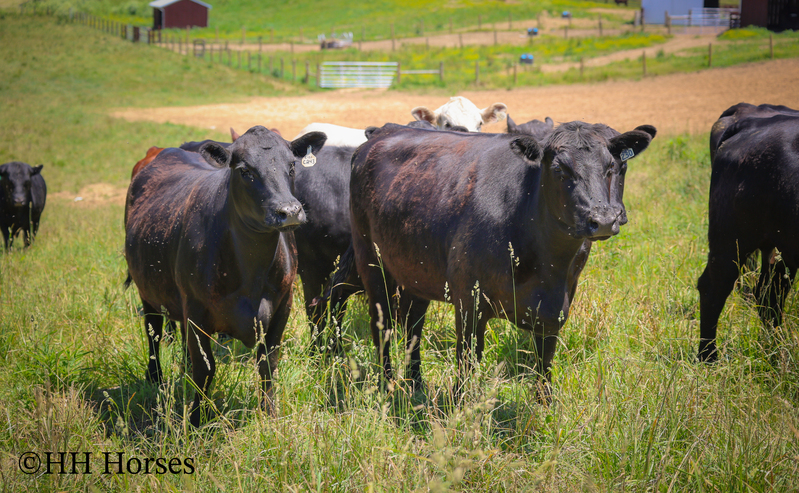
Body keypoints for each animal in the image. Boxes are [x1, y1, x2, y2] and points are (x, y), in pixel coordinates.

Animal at [124, 126, 326, 426]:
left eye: (292, 166)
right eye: (245, 171)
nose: (289, 211)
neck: (252, 277)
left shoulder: (283, 304)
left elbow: (268, 363)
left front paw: (269, 415)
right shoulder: (196, 311)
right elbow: (205, 369)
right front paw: (196, 421)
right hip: (147, 291)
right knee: (154, 333)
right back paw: (155, 378)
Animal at [337, 122, 653, 398]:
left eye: (611, 167)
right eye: (559, 169)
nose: (603, 220)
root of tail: (383, 132)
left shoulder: (557, 307)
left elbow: (544, 361)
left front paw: (544, 405)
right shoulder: (469, 301)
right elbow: (467, 360)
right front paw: (462, 409)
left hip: (415, 272)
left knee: (413, 326)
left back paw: (416, 384)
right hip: (372, 263)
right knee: (382, 327)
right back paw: (387, 384)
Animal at [697, 103, 799, 362]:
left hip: (781, 247)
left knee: (769, 297)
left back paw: (779, 352)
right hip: (731, 238)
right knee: (713, 288)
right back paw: (708, 357)